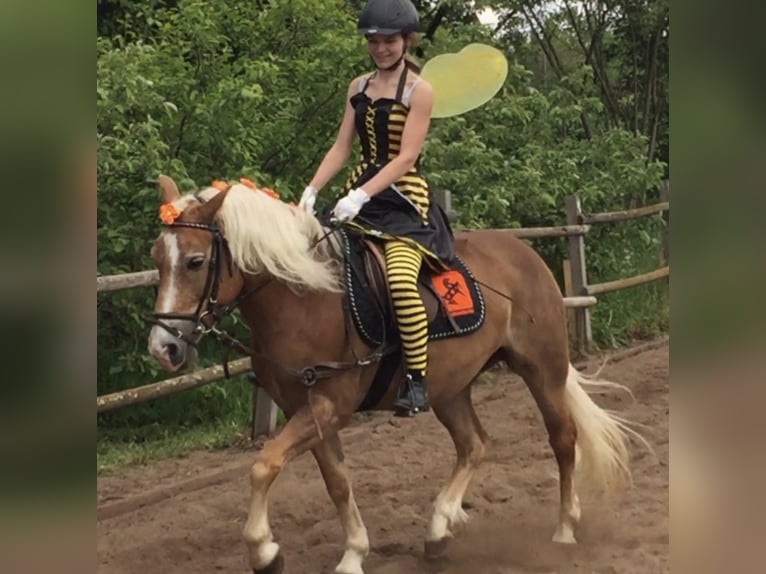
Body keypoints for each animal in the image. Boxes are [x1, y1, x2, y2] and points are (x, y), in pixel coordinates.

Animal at [148, 177, 640, 574]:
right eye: (156, 258)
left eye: (195, 261)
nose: (163, 347)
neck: (304, 300)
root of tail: (526, 253)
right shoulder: (305, 410)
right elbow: (336, 482)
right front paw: (352, 554)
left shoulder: (328, 406)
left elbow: (263, 465)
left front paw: (265, 552)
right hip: (450, 387)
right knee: (474, 444)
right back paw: (440, 528)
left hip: (543, 369)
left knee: (562, 439)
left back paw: (564, 528)